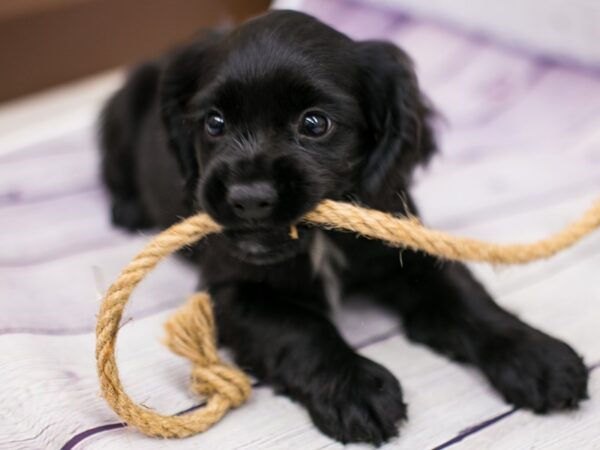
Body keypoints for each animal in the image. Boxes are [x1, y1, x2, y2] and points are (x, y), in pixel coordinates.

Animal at [101, 8, 588, 444]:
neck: (319, 240)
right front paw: (355, 388)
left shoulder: (406, 250)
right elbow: (300, 328)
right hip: (117, 112)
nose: (248, 197)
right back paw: (127, 208)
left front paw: (537, 357)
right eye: (214, 123)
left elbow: (466, 297)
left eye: (315, 123)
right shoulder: (231, 291)